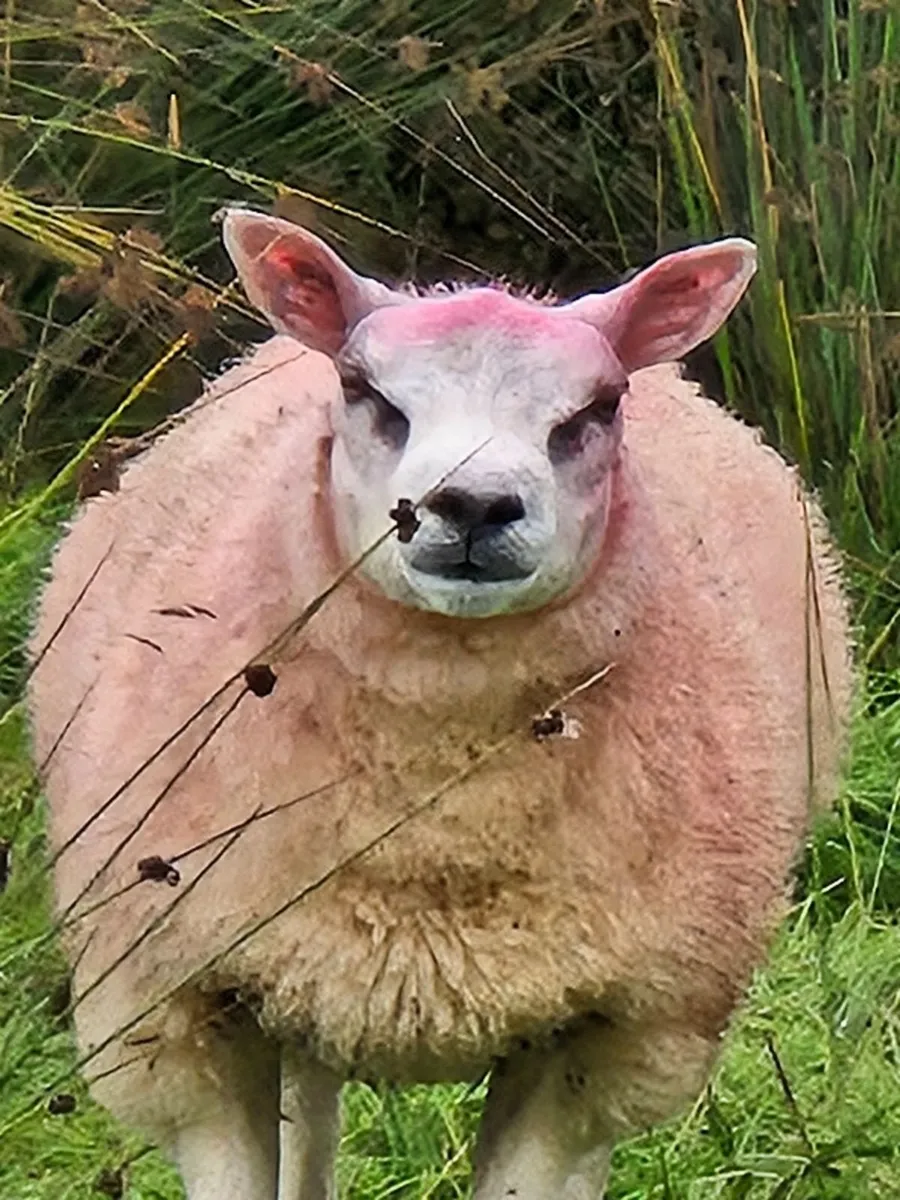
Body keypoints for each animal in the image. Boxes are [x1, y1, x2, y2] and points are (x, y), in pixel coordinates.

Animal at [28, 209, 854, 1200]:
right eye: (362, 388)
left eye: (599, 407)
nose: (472, 505)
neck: (435, 826)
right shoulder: (178, 1013)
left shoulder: (609, 1035)